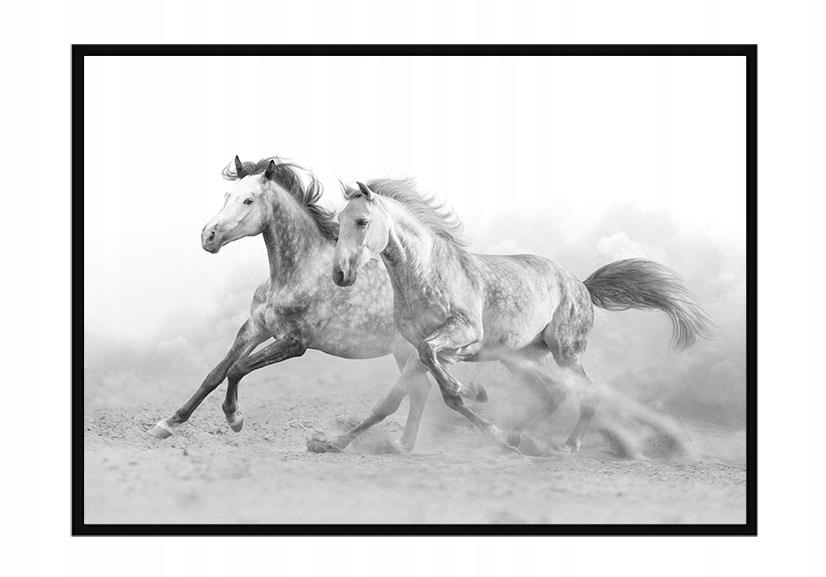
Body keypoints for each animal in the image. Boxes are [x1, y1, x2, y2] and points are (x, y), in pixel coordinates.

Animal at [149, 156, 489, 452]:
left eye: (248, 201)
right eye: (227, 195)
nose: (209, 236)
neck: (298, 271)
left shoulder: (294, 342)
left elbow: (237, 368)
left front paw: (235, 418)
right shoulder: (255, 327)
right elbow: (216, 373)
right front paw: (167, 424)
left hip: (412, 350)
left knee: (415, 391)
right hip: (406, 351)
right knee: (421, 391)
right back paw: (402, 444)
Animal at [332, 179, 712, 452]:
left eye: (362, 221)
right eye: (339, 222)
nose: (340, 274)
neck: (425, 271)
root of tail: (582, 285)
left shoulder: (460, 336)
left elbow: (443, 383)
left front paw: (473, 392)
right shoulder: (421, 349)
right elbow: (396, 398)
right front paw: (337, 443)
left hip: (565, 353)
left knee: (587, 392)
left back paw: (567, 444)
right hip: (520, 358)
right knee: (552, 395)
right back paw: (516, 437)